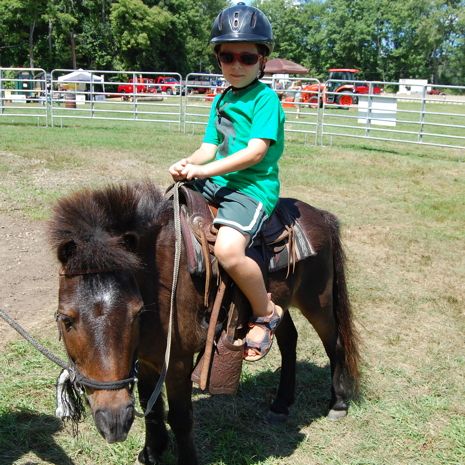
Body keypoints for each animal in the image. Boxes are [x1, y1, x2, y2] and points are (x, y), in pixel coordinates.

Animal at [48, 181, 358, 464]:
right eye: (66, 319)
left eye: (136, 313)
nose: (115, 421)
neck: (161, 278)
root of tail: (320, 215)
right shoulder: (147, 358)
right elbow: (152, 408)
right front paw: (152, 452)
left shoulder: (177, 362)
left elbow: (181, 417)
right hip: (278, 303)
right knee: (289, 340)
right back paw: (281, 405)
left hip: (318, 302)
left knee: (334, 344)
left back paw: (338, 403)